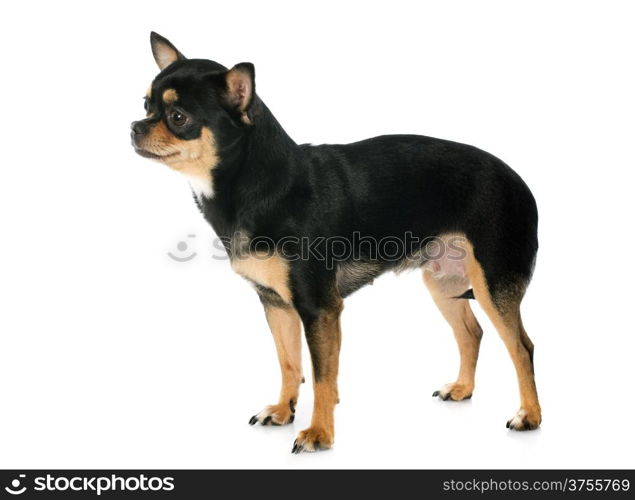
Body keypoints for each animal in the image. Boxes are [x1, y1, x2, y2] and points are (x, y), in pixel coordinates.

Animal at [133, 31, 540, 454]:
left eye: (178, 117)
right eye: (145, 105)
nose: (134, 127)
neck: (258, 185)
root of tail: (518, 180)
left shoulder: (319, 309)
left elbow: (322, 378)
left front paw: (319, 434)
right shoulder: (277, 304)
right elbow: (290, 364)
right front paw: (283, 411)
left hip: (492, 285)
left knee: (522, 348)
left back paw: (529, 416)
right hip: (443, 282)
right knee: (472, 333)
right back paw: (462, 389)